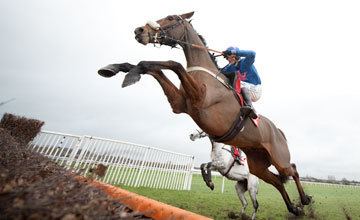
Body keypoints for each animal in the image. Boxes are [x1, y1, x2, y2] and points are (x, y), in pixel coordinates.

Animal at [97, 11, 310, 215]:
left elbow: (173, 64)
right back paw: (294, 208)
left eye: (171, 18)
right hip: (257, 164)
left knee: (293, 170)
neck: (206, 72)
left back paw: (305, 200)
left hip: (279, 158)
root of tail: (279, 131)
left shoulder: (199, 98)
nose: (139, 30)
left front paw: (131, 74)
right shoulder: (179, 104)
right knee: (276, 181)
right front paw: (116, 68)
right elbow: (155, 68)